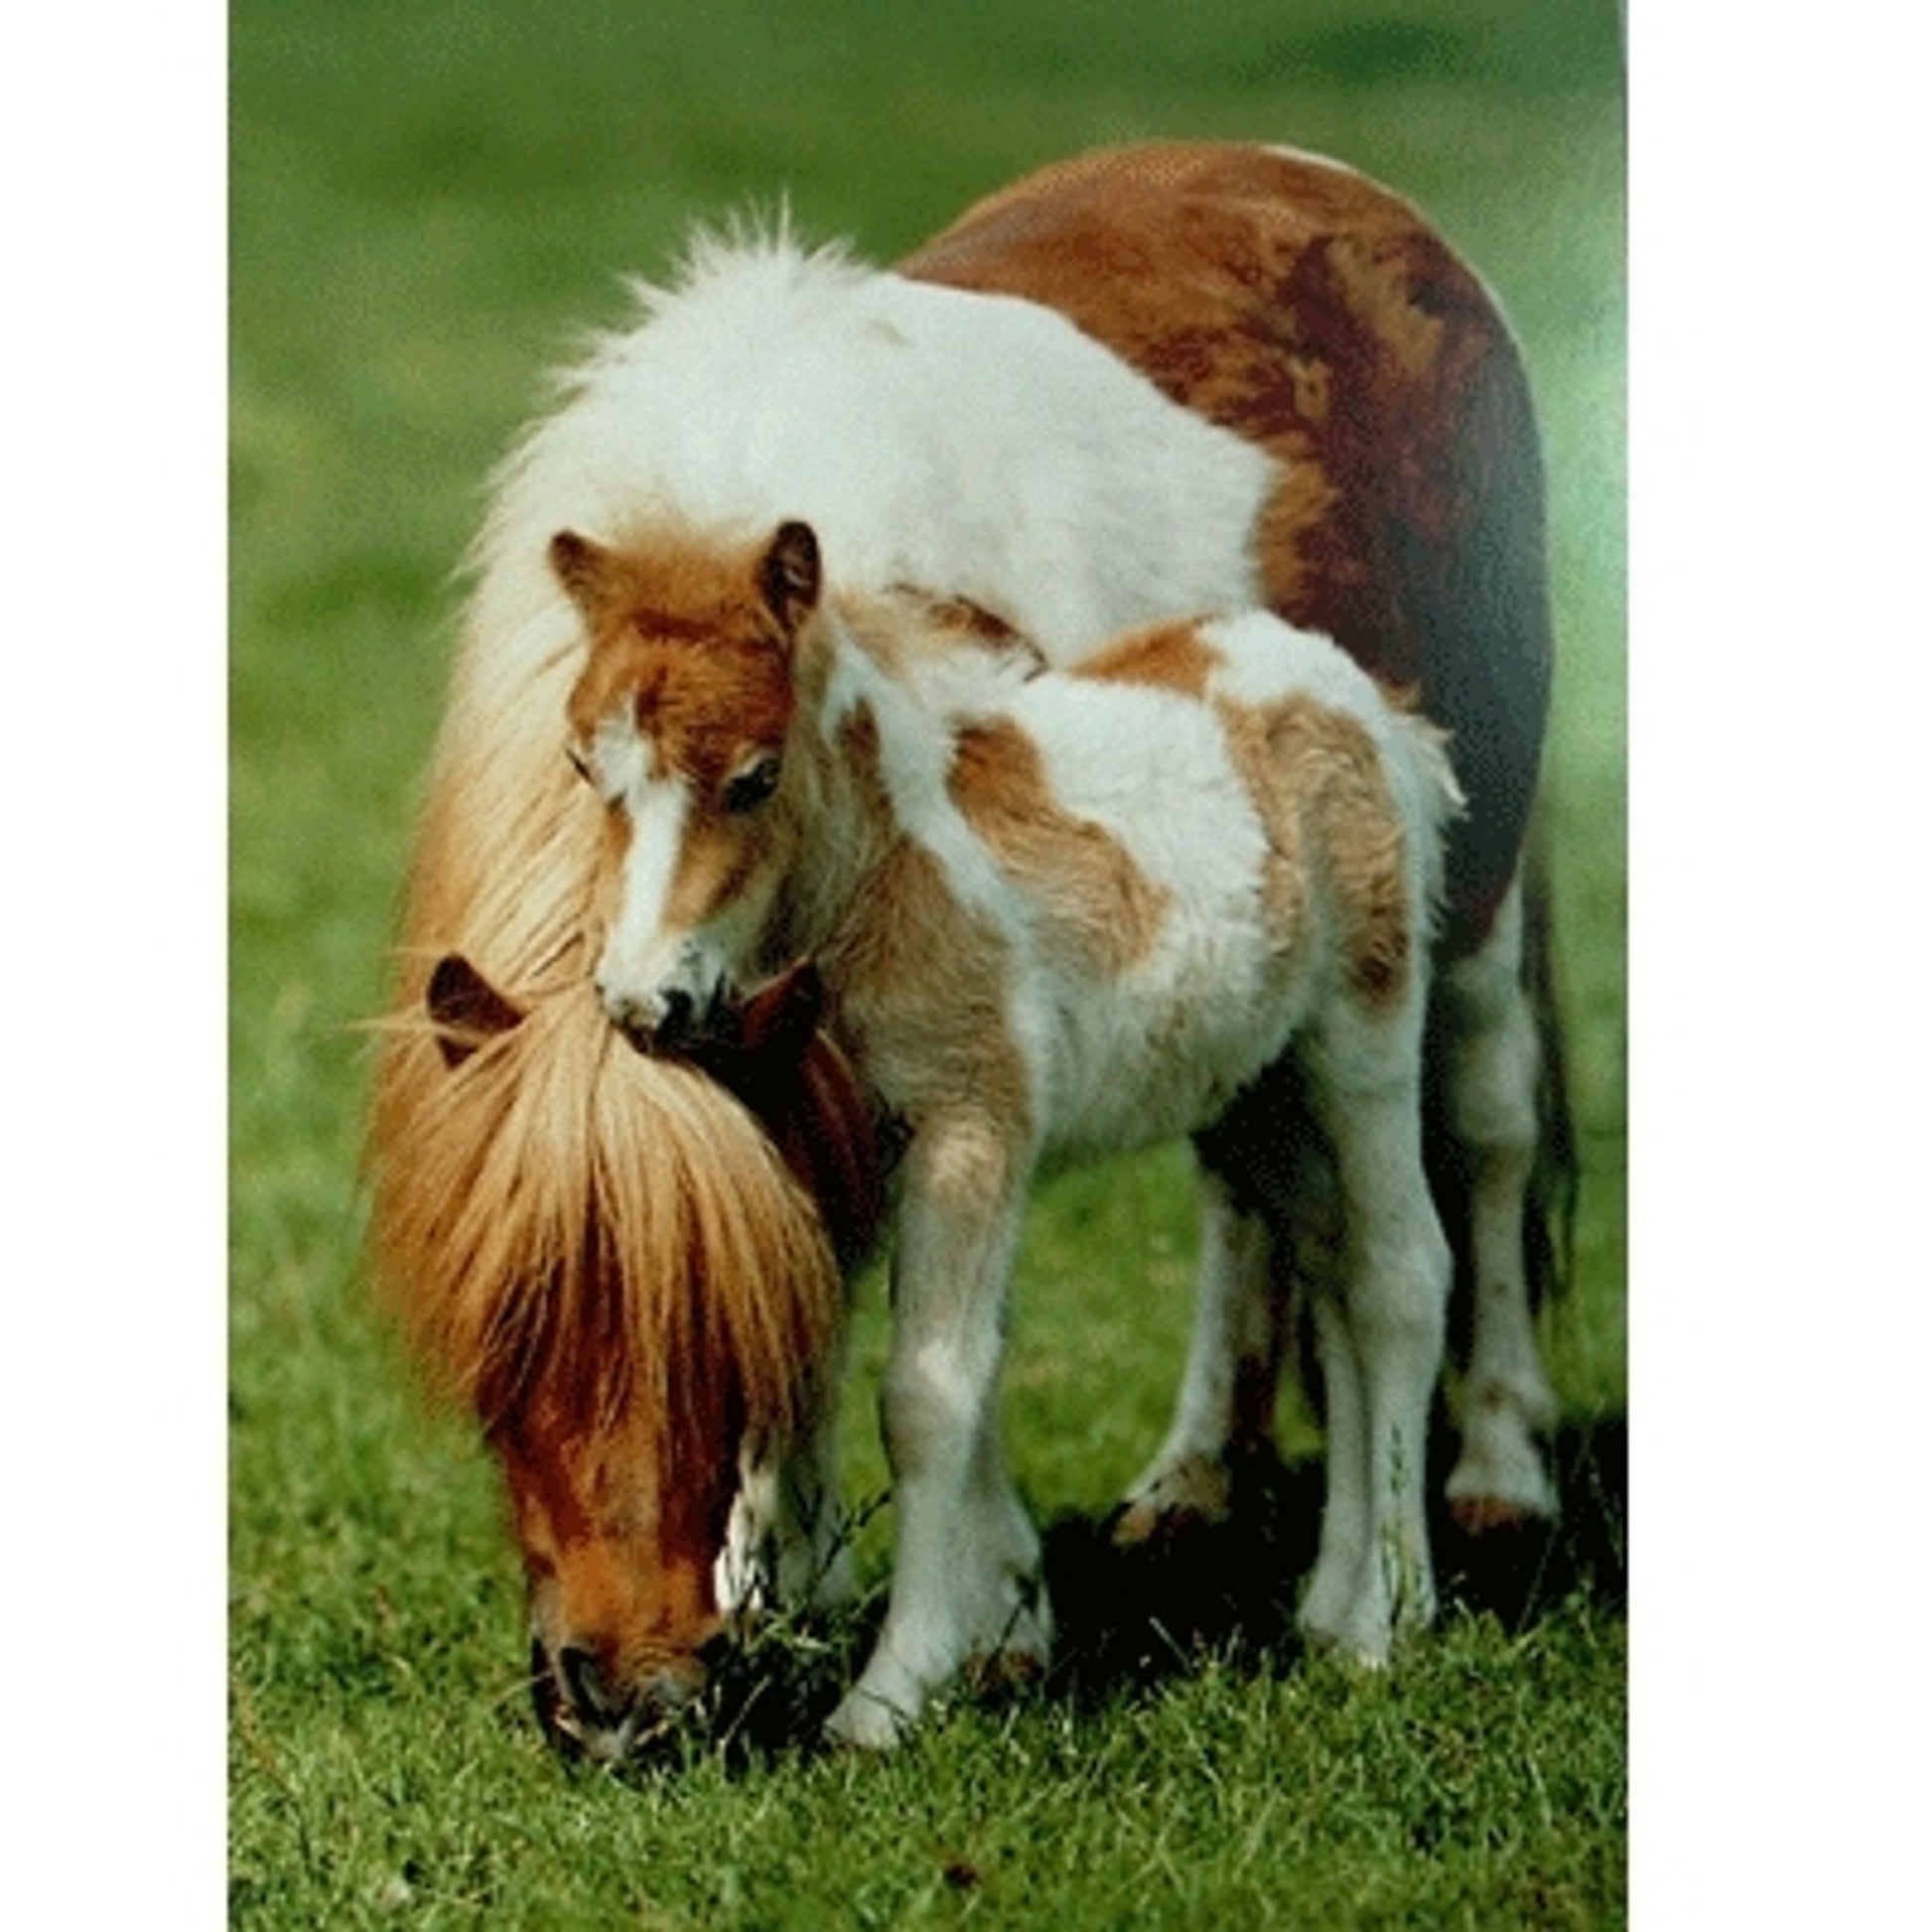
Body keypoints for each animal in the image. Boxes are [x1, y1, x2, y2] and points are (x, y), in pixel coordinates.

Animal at [368, 139, 1567, 1756]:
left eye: (717, 1350)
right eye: (499, 1358)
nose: (626, 1705)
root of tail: (1351, 195)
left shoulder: (968, 1070)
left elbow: (940, 1354)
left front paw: (970, 1628)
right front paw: (816, 1576)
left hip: (1464, 913)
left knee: (1483, 1143)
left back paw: (1489, 1483)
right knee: (1244, 1191)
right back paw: (1196, 1481)